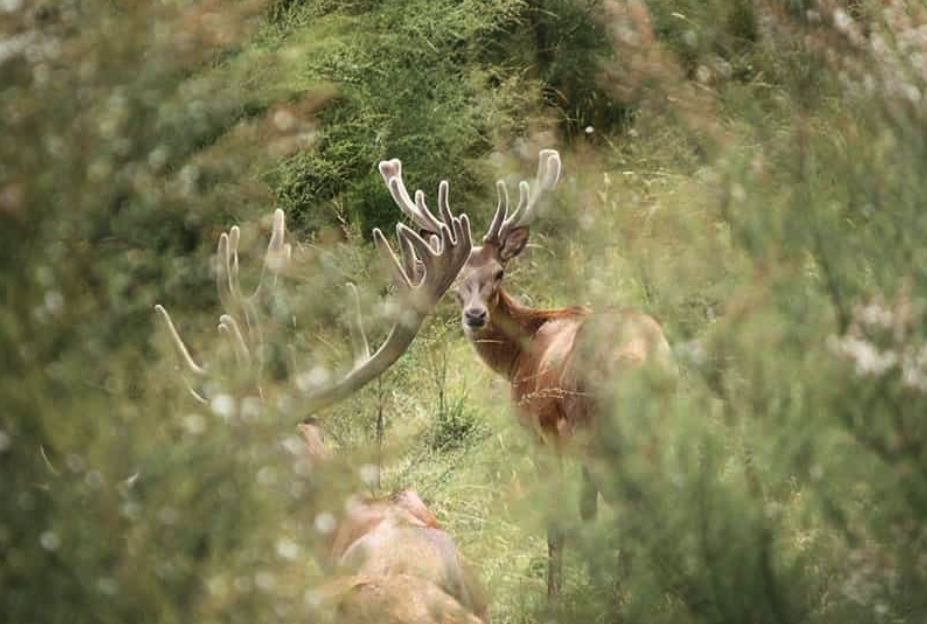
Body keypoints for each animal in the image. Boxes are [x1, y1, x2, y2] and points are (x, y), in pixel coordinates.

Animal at [376, 149, 675, 596]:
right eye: (456, 280)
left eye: (498, 272)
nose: (475, 316)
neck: (519, 356)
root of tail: (644, 360)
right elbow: (587, 512)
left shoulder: (538, 433)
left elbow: (558, 522)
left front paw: (556, 596)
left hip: (602, 432)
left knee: (634, 507)